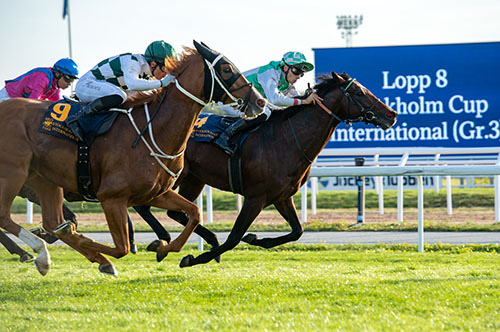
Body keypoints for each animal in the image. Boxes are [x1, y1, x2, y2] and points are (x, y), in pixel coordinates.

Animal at [0, 40, 266, 274]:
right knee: (6, 216)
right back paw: (38, 252)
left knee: (52, 221)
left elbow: (193, 213)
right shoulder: (111, 198)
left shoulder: (156, 193)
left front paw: (163, 248)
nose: (260, 101)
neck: (153, 130)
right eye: (227, 69)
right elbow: (122, 248)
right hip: (14, 173)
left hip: (46, 181)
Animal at [134, 72, 398, 268]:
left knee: (173, 212)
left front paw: (256, 238)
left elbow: (297, 231)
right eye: (358, 92)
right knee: (146, 205)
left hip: (193, 178)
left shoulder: (282, 196)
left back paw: (182, 241)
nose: (392, 114)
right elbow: (234, 237)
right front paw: (195, 258)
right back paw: (166, 242)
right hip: (173, 177)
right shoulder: (255, 197)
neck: (286, 140)